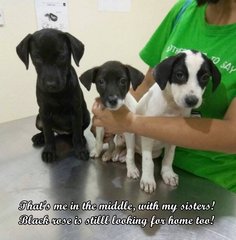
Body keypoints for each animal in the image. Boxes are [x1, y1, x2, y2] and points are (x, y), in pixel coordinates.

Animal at [16, 29, 90, 162]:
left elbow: (77, 132)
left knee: (78, 131)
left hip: (86, 115)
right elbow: (48, 135)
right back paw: (39, 137)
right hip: (38, 119)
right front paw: (49, 151)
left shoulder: (76, 111)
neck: (58, 95)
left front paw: (80, 149)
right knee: (46, 131)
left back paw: (82, 138)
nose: (51, 85)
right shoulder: (44, 112)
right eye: (37, 58)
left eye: (61, 57)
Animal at [126, 50, 222, 193]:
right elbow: (148, 161)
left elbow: (169, 157)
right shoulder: (147, 133)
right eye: (179, 74)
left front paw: (168, 173)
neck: (171, 105)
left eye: (205, 77)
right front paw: (148, 179)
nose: (192, 101)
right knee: (131, 152)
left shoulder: (174, 134)